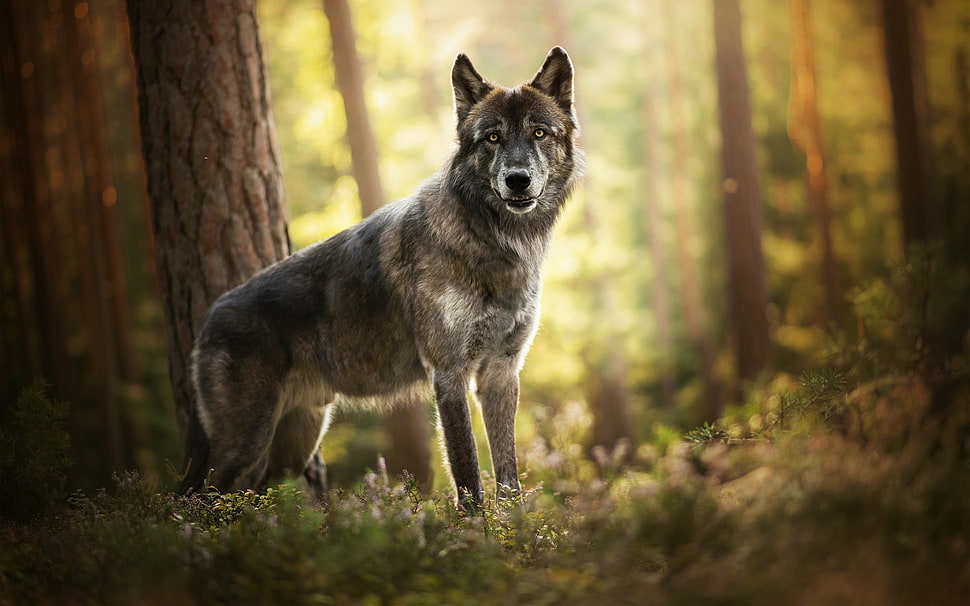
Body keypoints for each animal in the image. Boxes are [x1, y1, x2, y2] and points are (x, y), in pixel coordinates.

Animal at [181, 47, 582, 508]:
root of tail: (209, 317)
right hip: (246, 443)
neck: (494, 240)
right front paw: (473, 528)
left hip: (288, 449)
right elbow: (468, 476)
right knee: (194, 500)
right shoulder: (449, 375)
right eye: (493, 138)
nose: (518, 180)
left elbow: (508, 479)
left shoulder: (500, 374)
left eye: (539, 132)